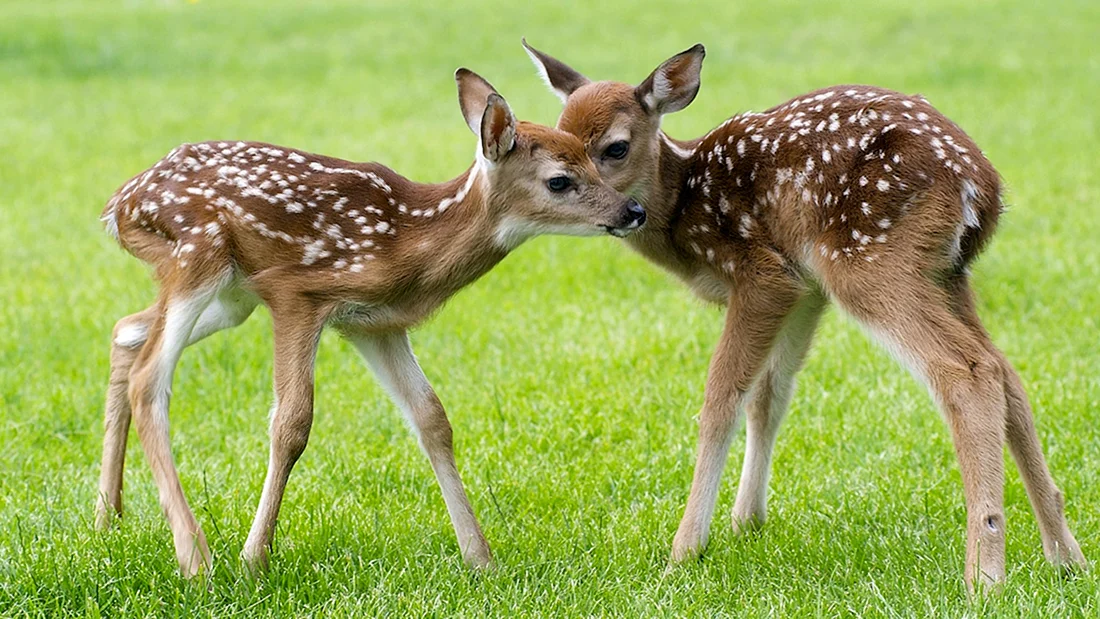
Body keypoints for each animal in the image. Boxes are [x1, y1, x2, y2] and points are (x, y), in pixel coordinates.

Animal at [93, 68, 646, 577]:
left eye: (595, 159)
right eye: (560, 180)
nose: (634, 210)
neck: (408, 240)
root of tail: (118, 206)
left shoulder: (374, 324)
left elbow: (432, 418)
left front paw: (480, 559)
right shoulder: (296, 294)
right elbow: (292, 424)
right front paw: (254, 560)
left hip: (231, 295)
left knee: (126, 330)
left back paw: (107, 517)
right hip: (198, 249)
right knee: (149, 377)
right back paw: (196, 561)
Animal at [522, 40, 1086, 590]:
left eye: (615, 147)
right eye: (563, 143)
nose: (615, 213)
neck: (684, 206)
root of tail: (983, 187)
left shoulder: (761, 273)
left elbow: (722, 397)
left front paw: (685, 551)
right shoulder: (804, 289)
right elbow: (769, 395)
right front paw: (746, 522)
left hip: (867, 258)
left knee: (967, 369)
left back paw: (985, 576)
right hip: (946, 272)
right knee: (1005, 371)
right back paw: (1065, 556)